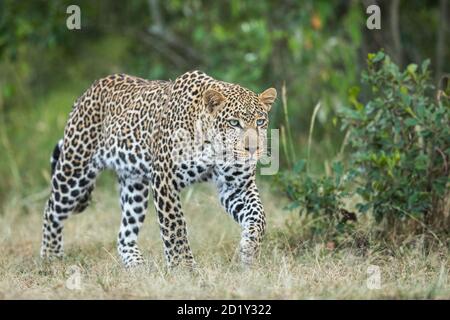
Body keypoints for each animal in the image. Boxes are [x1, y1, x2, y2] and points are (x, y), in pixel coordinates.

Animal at [39, 70, 278, 268]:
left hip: (134, 185)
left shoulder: (236, 186)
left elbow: (259, 217)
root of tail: (88, 91)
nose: (252, 149)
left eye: (260, 121)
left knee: (124, 234)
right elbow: (175, 226)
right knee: (51, 210)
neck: (214, 148)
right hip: (75, 171)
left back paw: (137, 265)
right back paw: (51, 258)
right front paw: (183, 269)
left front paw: (248, 251)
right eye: (233, 123)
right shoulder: (165, 179)